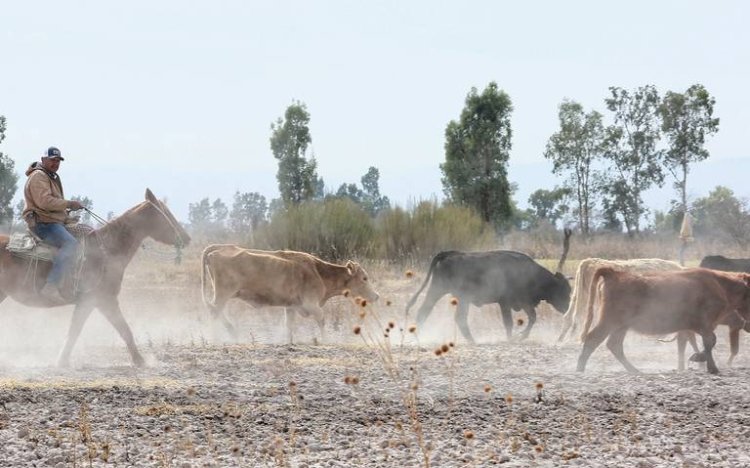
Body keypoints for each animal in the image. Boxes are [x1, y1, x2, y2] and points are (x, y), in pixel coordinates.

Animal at [0, 188, 191, 368]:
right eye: (165, 213)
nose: (187, 238)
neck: (107, 249)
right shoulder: (100, 299)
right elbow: (119, 329)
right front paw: (140, 361)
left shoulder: (95, 301)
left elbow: (83, 330)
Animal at [200, 245, 378, 344]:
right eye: (364, 278)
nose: (376, 296)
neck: (319, 272)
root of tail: (218, 249)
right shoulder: (310, 304)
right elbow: (321, 320)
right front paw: (326, 340)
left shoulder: (291, 306)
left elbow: (289, 325)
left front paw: (288, 342)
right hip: (223, 294)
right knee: (214, 312)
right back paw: (215, 337)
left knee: (216, 312)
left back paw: (231, 331)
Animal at [408, 250, 572, 342]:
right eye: (564, 291)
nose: (568, 308)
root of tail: (451, 254)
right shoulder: (505, 303)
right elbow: (509, 322)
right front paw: (513, 337)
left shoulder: (523, 303)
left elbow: (532, 318)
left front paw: (520, 336)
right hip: (457, 297)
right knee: (458, 318)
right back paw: (472, 341)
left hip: (439, 292)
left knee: (424, 311)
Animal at [580, 268, 750, 374]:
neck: (721, 286)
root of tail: (615, 273)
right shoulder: (705, 325)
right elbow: (709, 342)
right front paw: (711, 367)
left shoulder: (700, 326)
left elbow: (707, 342)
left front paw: (698, 358)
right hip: (609, 321)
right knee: (592, 339)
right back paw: (579, 369)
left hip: (621, 326)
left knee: (614, 345)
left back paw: (634, 370)